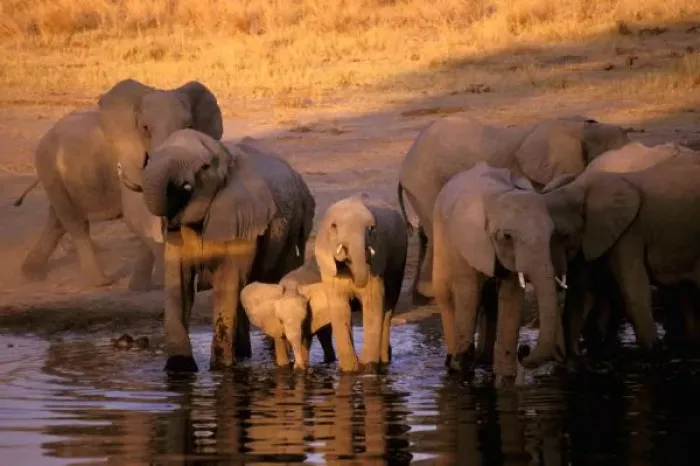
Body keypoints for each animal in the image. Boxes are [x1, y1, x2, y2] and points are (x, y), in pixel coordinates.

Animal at [14, 78, 223, 290]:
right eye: (145, 128)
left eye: (190, 126)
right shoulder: (129, 156)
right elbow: (139, 215)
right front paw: (163, 283)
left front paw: (139, 288)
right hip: (48, 167)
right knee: (73, 221)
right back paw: (100, 283)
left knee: (57, 220)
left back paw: (31, 274)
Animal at [135, 129, 315, 372]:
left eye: (204, 167)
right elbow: (178, 282)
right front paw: (180, 369)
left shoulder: (242, 216)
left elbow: (227, 281)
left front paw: (220, 369)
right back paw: (243, 355)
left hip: (294, 228)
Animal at [314, 193, 408, 373]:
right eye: (334, 227)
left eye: (371, 229)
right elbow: (340, 308)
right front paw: (350, 370)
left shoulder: (377, 259)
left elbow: (373, 302)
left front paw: (367, 368)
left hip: (399, 261)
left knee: (388, 306)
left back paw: (384, 360)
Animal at [432, 162, 574, 386]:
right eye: (507, 237)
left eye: (552, 234)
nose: (524, 349)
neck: (497, 196)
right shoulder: (466, 241)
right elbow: (468, 293)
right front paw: (462, 375)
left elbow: (511, 297)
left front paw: (505, 381)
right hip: (439, 231)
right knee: (446, 294)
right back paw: (452, 363)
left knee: (490, 299)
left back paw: (484, 361)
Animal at [543, 141, 700, 361]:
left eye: (563, 235)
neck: (581, 186)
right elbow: (584, 292)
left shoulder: (628, 230)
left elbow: (633, 288)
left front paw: (654, 353)